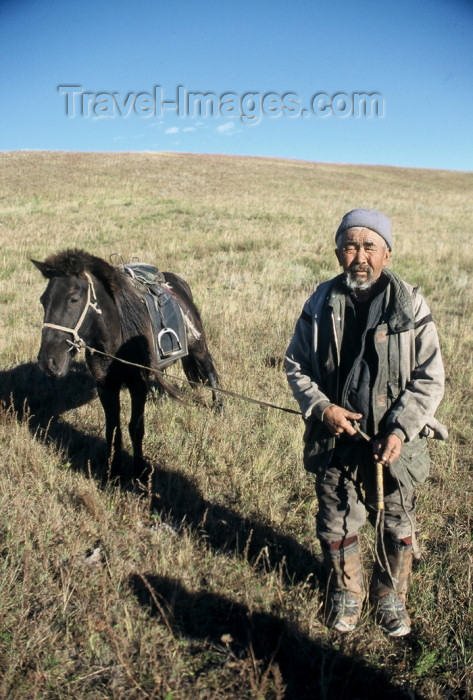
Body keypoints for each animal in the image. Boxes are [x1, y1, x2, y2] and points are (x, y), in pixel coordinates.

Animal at [33, 249, 221, 478]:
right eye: (43, 300)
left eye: (74, 299)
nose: (48, 361)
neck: (116, 341)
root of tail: (178, 282)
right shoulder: (106, 386)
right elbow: (113, 430)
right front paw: (113, 473)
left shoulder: (137, 384)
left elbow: (136, 428)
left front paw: (139, 471)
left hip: (197, 344)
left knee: (210, 370)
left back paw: (219, 405)